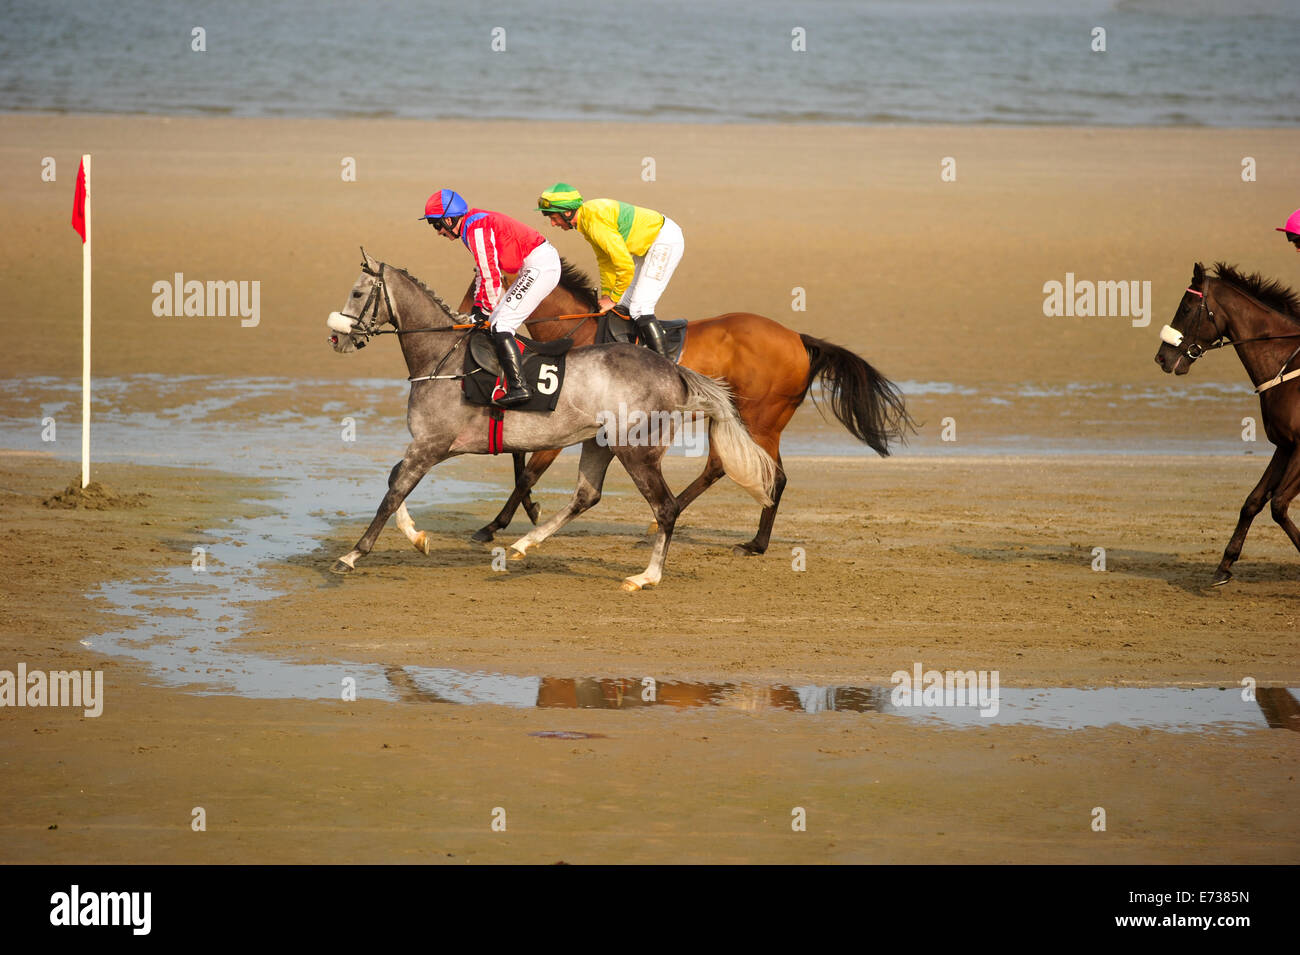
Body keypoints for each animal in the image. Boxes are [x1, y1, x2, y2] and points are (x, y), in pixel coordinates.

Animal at [327, 248, 769, 589]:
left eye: (356, 292)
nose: (337, 337)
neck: (444, 358)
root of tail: (671, 369)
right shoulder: (433, 446)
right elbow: (394, 480)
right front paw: (417, 536)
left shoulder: (432, 444)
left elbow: (393, 492)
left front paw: (352, 555)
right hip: (600, 442)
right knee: (587, 495)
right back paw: (525, 545)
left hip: (636, 450)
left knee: (667, 508)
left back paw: (647, 576)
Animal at [449, 259, 915, 553]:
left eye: (479, 283)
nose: (463, 317)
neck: (578, 333)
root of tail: (798, 338)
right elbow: (520, 462)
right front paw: (524, 514)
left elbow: (528, 472)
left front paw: (492, 526)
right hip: (736, 418)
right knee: (721, 466)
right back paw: (665, 524)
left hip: (761, 420)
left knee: (772, 476)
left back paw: (756, 544)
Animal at [1159, 263, 1300, 589]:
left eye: (1186, 307)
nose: (1161, 357)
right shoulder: (1285, 445)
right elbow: (1254, 501)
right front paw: (1223, 566)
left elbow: (1278, 504)